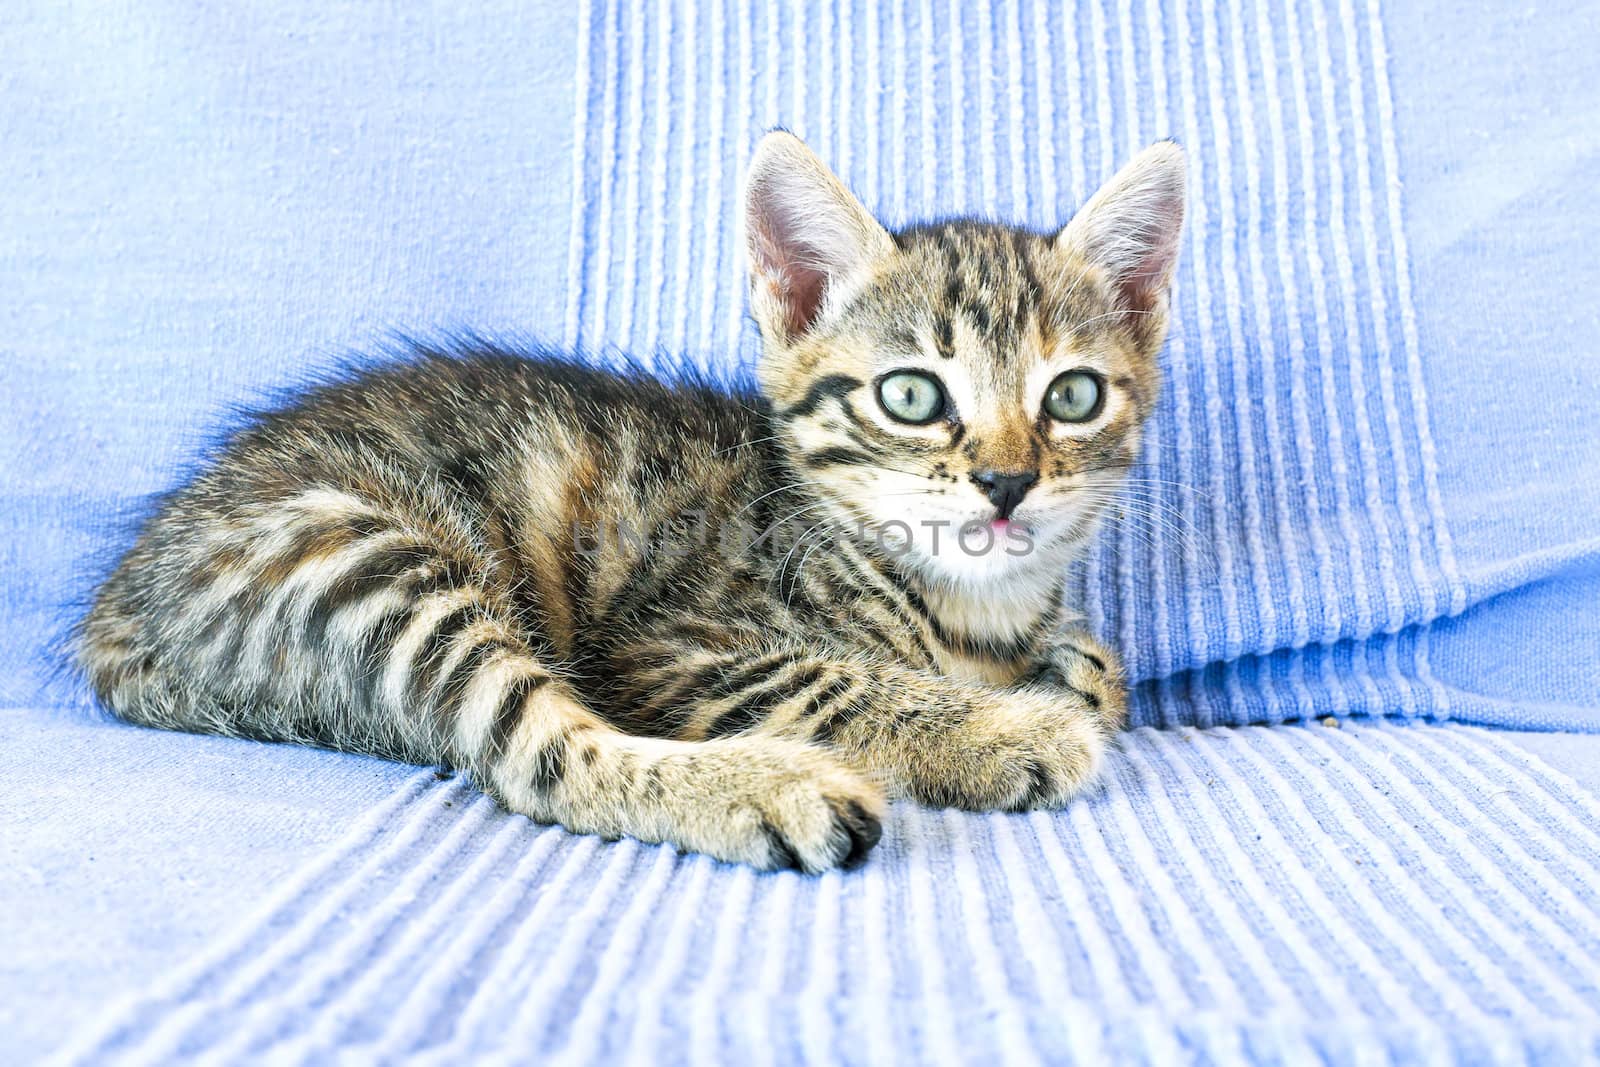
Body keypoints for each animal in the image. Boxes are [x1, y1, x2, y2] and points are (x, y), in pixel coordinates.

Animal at [75, 133, 1184, 870]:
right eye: (911, 395)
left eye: (1072, 396)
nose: (1007, 479)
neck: (963, 604)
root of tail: (123, 602)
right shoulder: (660, 647)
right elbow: (833, 680)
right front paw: (1002, 729)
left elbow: (1095, 670)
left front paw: (1065, 669)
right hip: (364, 556)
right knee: (537, 757)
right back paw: (779, 789)